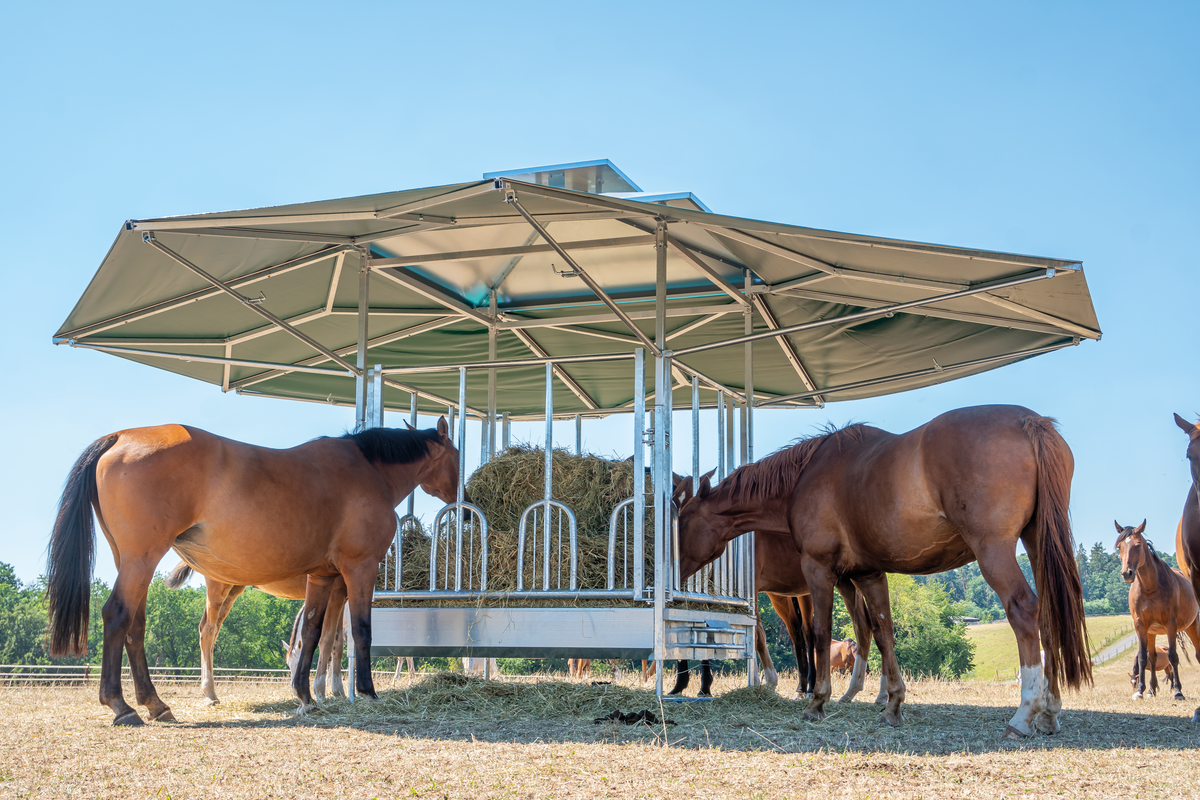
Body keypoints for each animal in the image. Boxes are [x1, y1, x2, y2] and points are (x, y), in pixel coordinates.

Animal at [45, 422, 458, 724]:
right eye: (455, 456)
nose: (461, 499)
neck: (368, 470)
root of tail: (121, 437)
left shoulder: (323, 576)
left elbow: (313, 633)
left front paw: (307, 696)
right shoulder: (359, 569)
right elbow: (359, 632)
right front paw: (366, 693)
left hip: (134, 563)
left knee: (137, 626)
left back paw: (155, 703)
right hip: (148, 562)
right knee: (121, 616)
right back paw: (123, 705)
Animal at [676, 407, 1089, 738]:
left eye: (681, 520)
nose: (674, 569)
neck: (805, 476)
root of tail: (1029, 421)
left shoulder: (818, 570)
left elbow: (821, 634)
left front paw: (817, 701)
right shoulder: (869, 574)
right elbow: (884, 632)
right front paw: (892, 705)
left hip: (994, 552)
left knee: (1024, 611)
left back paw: (1025, 713)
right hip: (1036, 544)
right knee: (1048, 617)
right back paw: (1050, 711)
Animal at [1113, 520, 1200, 700]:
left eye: (1138, 545)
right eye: (1119, 546)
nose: (1127, 573)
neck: (1150, 587)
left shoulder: (1171, 625)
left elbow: (1173, 656)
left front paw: (1178, 691)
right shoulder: (1141, 626)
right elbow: (1143, 658)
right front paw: (1140, 691)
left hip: (1192, 626)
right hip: (1151, 633)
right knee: (1152, 658)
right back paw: (1151, 690)